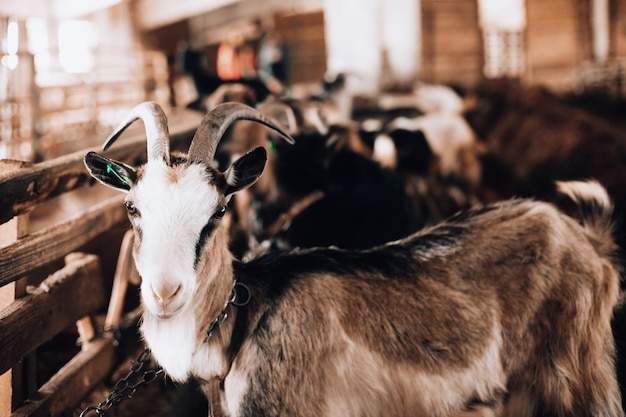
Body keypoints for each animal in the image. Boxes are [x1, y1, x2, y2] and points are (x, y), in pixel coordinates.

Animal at [85, 101, 620, 416]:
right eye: (132, 207)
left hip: (579, 379)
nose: (164, 292)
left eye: (217, 210)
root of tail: (583, 235)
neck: (245, 325)